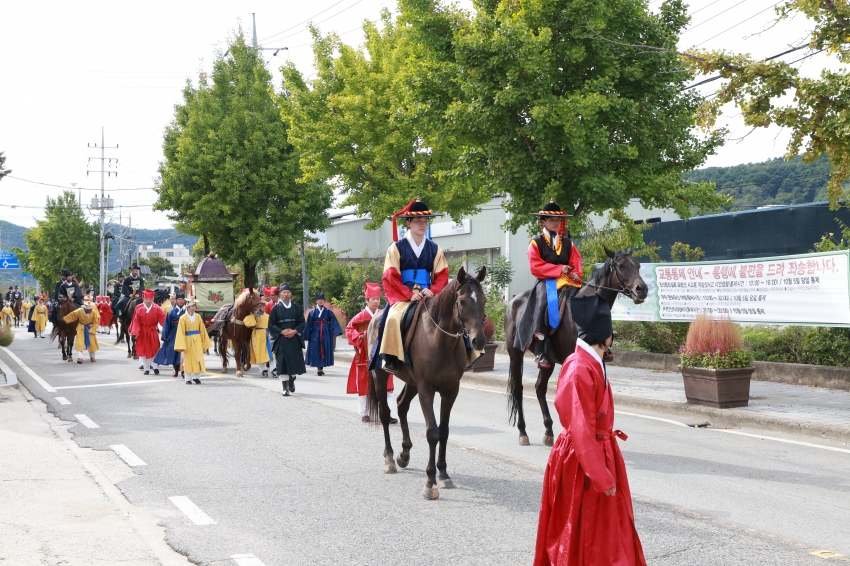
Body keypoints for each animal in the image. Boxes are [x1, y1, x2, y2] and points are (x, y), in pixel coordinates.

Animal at [362, 268, 484, 502]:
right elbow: (432, 432)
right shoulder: (426, 389)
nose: (479, 341)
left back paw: (404, 454)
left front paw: (443, 474)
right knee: (385, 414)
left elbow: (444, 431)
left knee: (401, 406)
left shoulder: (450, 391)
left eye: (483, 299)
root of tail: (374, 320)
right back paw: (390, 458)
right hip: (381, 377)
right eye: (462, 301)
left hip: (412, 383)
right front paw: (430, 482)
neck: (440, 340)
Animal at [500, 248, 644, 448]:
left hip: (549, 361)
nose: (642, 289)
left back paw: (548, 430)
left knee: (539, 388)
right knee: (518, 389)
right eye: (621, 265)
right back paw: (523, 432)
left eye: (637, 265)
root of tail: (513, 302)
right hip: (515, 353)